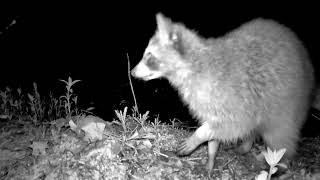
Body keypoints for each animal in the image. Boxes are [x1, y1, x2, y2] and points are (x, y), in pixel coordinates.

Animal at [131, 13, 316, 172]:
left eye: (149, 56)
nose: (131, 72)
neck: (194, 65)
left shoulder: (234, 98)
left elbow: (232, 126)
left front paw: (198, 136)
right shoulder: (208, 103)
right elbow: (215, 132)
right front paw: (211, 157)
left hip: (288, 103)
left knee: (280, 137)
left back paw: (280, 165)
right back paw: (247, 145)